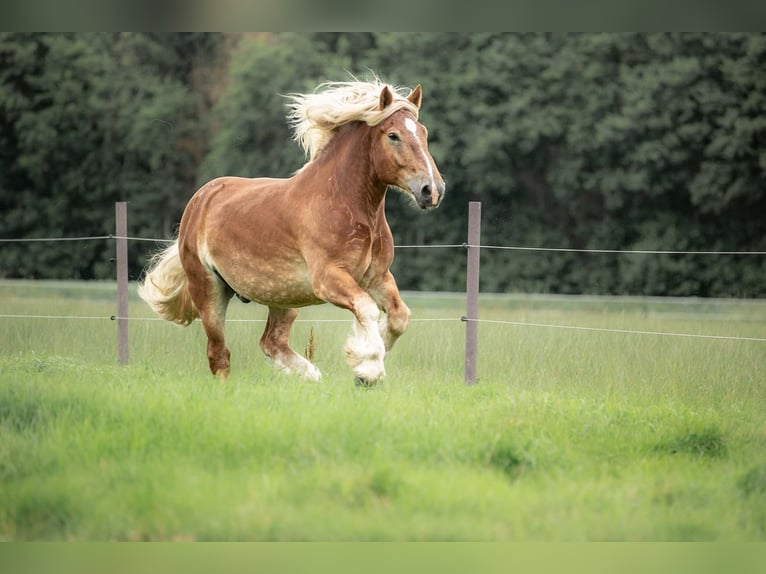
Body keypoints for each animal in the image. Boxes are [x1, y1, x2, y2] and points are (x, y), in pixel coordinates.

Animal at [138, 80, 444, 388]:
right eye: (393, 135)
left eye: (423, 132)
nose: (432, 190)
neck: (346, 205)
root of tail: (201, 199)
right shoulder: (329, 278)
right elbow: (367, 308)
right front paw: (368, 369)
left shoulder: (377, 277)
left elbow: (400, 316)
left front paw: (363, 366)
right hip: (209, 290)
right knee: (219, 354)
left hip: (284, 296)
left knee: (271, 342)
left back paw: (311, 375)